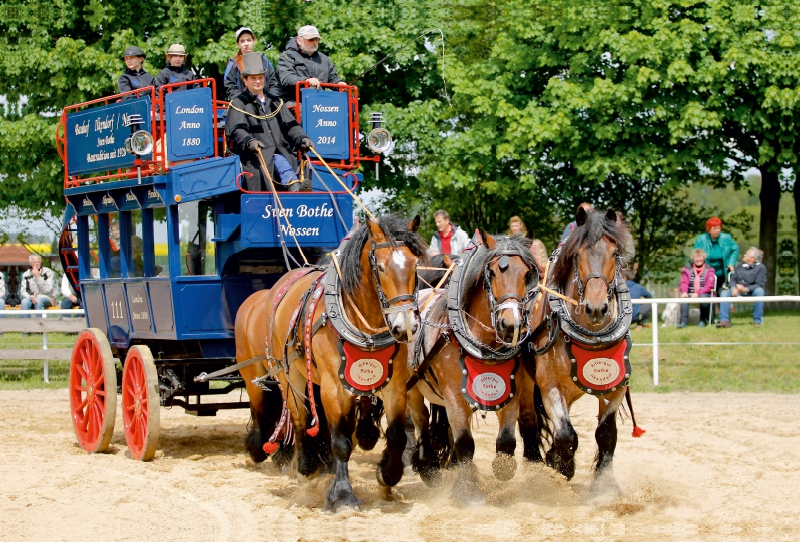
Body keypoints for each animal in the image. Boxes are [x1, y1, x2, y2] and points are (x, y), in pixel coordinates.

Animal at [236, 215, 428, 512]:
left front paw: (388, 474)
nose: (405, 326)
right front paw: (343, 495)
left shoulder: (394, 385)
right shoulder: (332, 388)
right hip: (290, 375)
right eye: (381, 267)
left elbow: (397, 434)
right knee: (301, 418)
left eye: (414, 265)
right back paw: (306, 466)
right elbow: (341, 443)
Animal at [406, 231, 536, 502]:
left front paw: (501, 470)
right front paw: (468, 489)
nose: (511, 325)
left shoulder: (511, 389)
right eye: (493, 273)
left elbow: (506, 441)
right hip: (413, 386)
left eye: (526, 273)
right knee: (421, 419)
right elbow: (465, 443)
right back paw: (428, 466)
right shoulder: (454, 394)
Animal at [528, 208, 640, 488]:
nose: (596, 308)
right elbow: (566, 436)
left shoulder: (616, 387)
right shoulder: (549, 387)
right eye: (577, 255)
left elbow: (607, 434)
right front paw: (563, 470)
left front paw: (604, 485)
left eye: (615, 254)